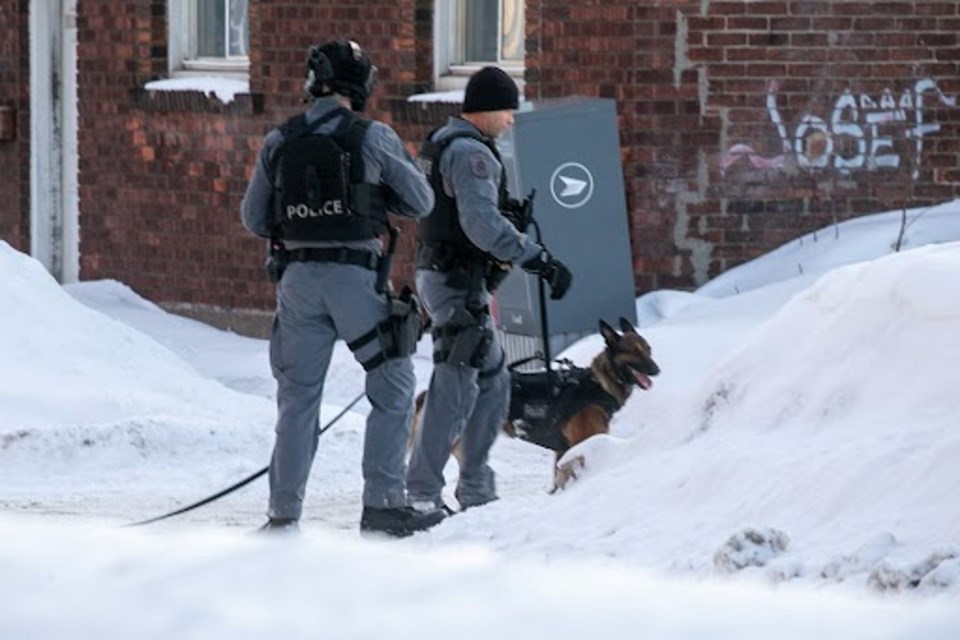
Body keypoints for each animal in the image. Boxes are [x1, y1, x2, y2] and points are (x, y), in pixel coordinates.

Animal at [408, 318, 656, 492]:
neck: (596, 384)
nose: (657, 369)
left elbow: (558, 483)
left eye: (648, 350)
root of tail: (425, 394)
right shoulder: (582, 446)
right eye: (634, 352)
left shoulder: (563, 451)